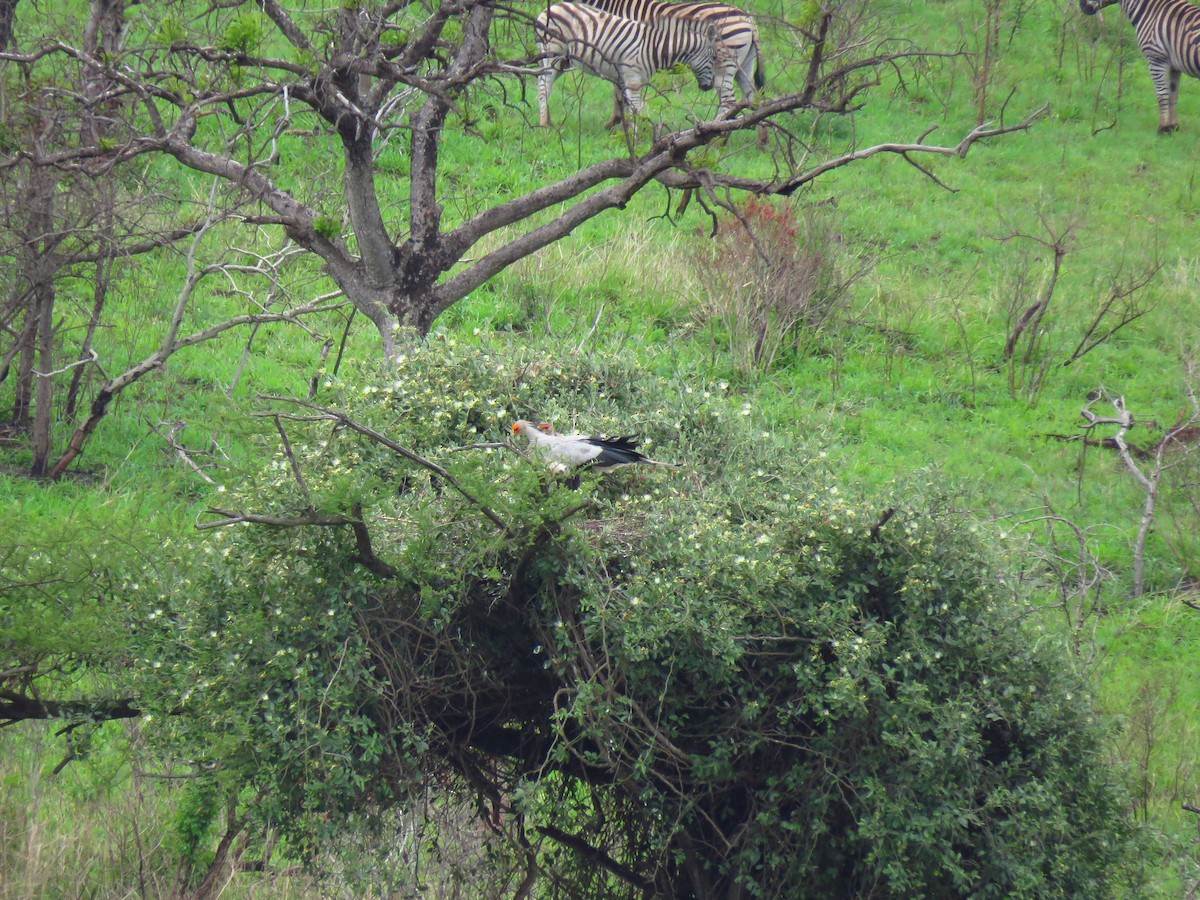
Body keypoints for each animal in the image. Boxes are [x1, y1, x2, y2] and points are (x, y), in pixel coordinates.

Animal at [540, 1, 724, 127]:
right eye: (714, 58)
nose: (709, 87)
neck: (654, 47)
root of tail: (552, 7)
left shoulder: (631, 79)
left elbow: (629, 108)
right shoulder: (633, 79)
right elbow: (635, 108)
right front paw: (638, 138)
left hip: (564, 61)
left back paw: (549, 122)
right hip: (553, 53)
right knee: (544, 84)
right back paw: (544, 127)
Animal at [576, 0, 763, 123]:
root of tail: (749, 20)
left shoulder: (620, 57)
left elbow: (619, 94)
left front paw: (616, 124)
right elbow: (621, 94)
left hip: (724, 66)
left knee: (729, 101)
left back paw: (719, 140)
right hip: (745, 64)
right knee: (752, 94)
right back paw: (760, 139)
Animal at [1084, 0, 1200, 132]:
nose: (1081, 6)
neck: (1150, 12)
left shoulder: (1156, 58)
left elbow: (1162, 94)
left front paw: (1163, 128)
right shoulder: (1174, 66)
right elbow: (1173, 94)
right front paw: (1173, 127)